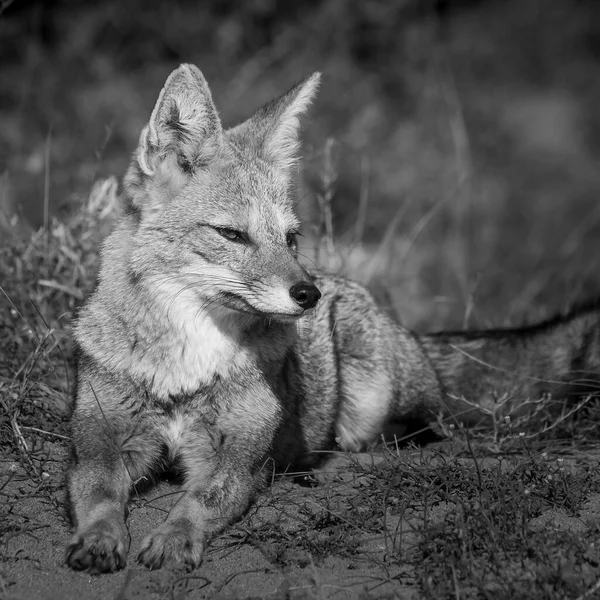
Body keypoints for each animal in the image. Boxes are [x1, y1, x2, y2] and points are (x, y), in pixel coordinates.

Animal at [65, 63, 600, 576]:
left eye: (291, 239)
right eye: (232, 235)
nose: (308, 295)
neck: (188, 364)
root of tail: (405, 328)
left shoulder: (235, 455)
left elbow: (201, 499)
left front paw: (174, 539)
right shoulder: (101, 438)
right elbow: (95, 490)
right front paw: (98, 538)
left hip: (371, 399)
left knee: (413, 430)